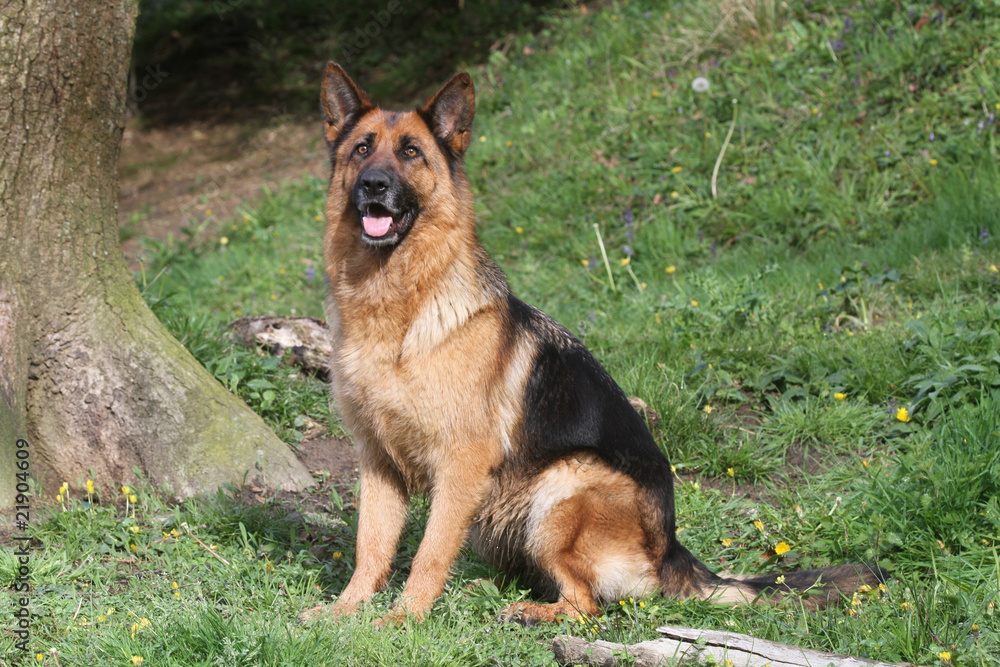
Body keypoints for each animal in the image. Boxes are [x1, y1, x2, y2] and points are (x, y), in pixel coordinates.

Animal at [306, 62, 884, 628]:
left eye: (410, 152)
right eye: (362, 149)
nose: (374, 185)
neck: (396, 306)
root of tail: (671, 552)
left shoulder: (460, 466)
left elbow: (428, 553)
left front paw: (401, 620)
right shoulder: (378, 462)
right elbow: (371, 546)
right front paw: (344, 611)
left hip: (563, 486)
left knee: (587, 604)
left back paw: (528, 613)